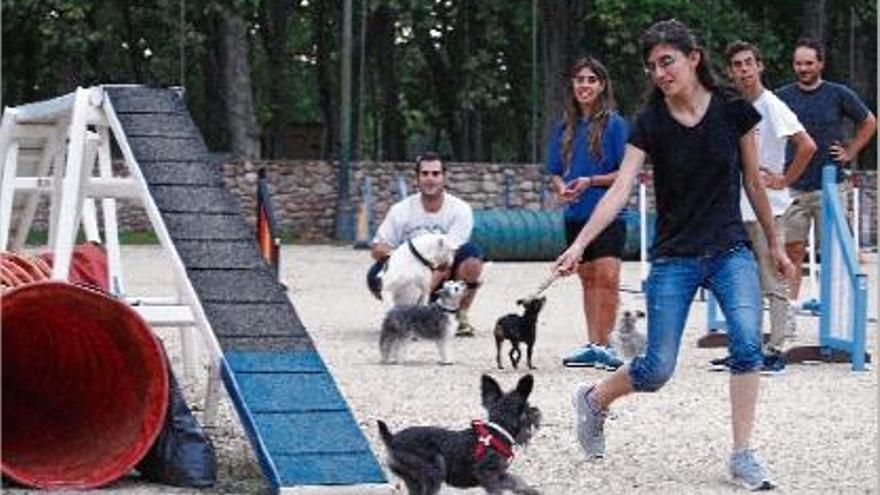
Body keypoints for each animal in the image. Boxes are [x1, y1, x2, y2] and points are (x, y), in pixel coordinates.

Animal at [374, 376, 540, 495]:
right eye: (528, 408)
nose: (537, 412)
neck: (498, 430)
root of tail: (392, 439)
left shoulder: (500, 475)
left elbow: (517, 482)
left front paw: (531, 491)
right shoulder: (488, 474)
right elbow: (500, 489)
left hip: (413, 480)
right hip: (434, 471)